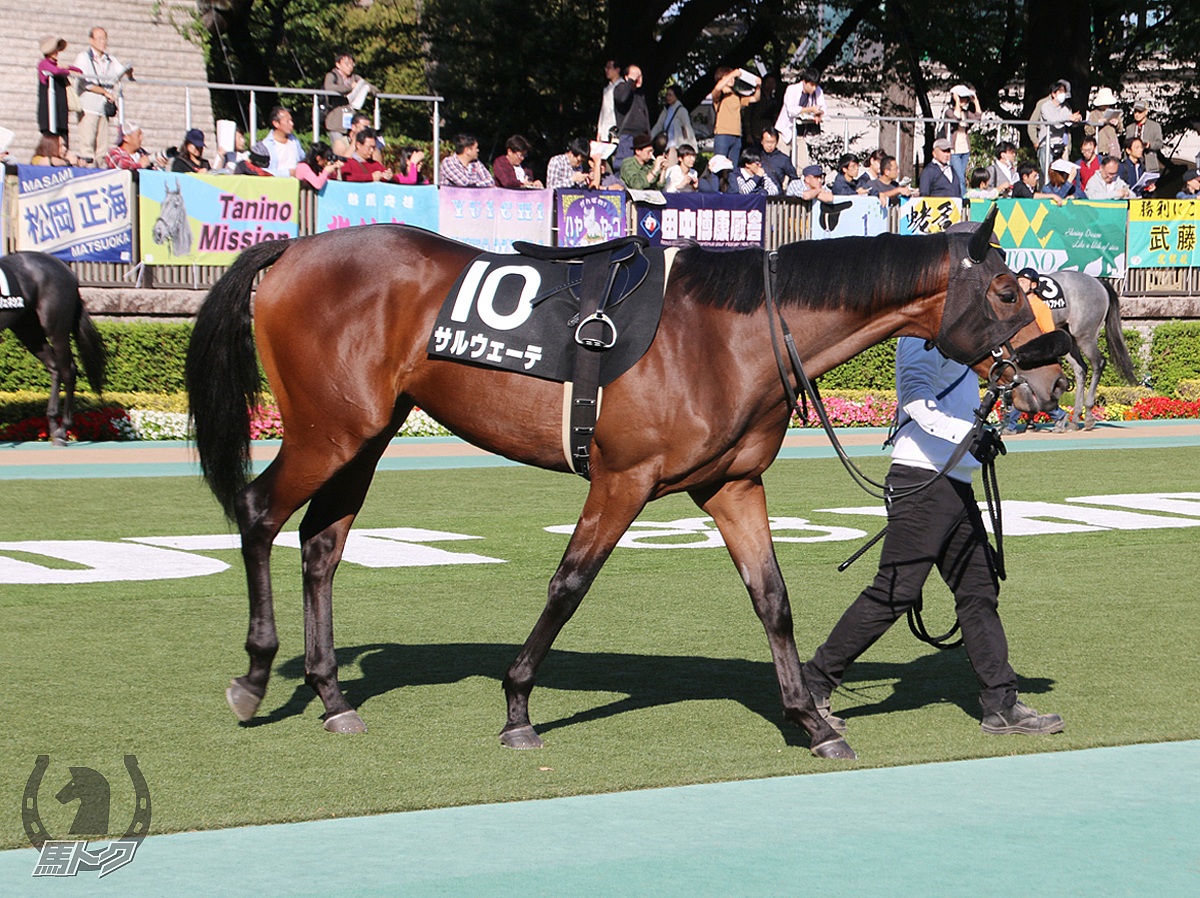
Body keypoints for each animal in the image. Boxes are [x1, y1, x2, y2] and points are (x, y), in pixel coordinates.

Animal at [1, 250, 106, 444]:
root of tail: (67, 270)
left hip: (56, 328)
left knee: (68, 370)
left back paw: (62, 430)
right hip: (28, 330)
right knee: (55, 367)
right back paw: (52, 424)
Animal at [182, 216, 1065, 758]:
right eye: (1006, 292)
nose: (1051, 377)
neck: (727, 331)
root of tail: (291, 250)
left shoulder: (733, 485)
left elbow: (772, 599)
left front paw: (812, 719)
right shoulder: (623, 478)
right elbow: (569, 583)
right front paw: (517, 707)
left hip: (366, 433)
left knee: (321, 545)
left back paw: (332, 696)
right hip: (328, 430)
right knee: (259, 513)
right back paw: (254, 677)